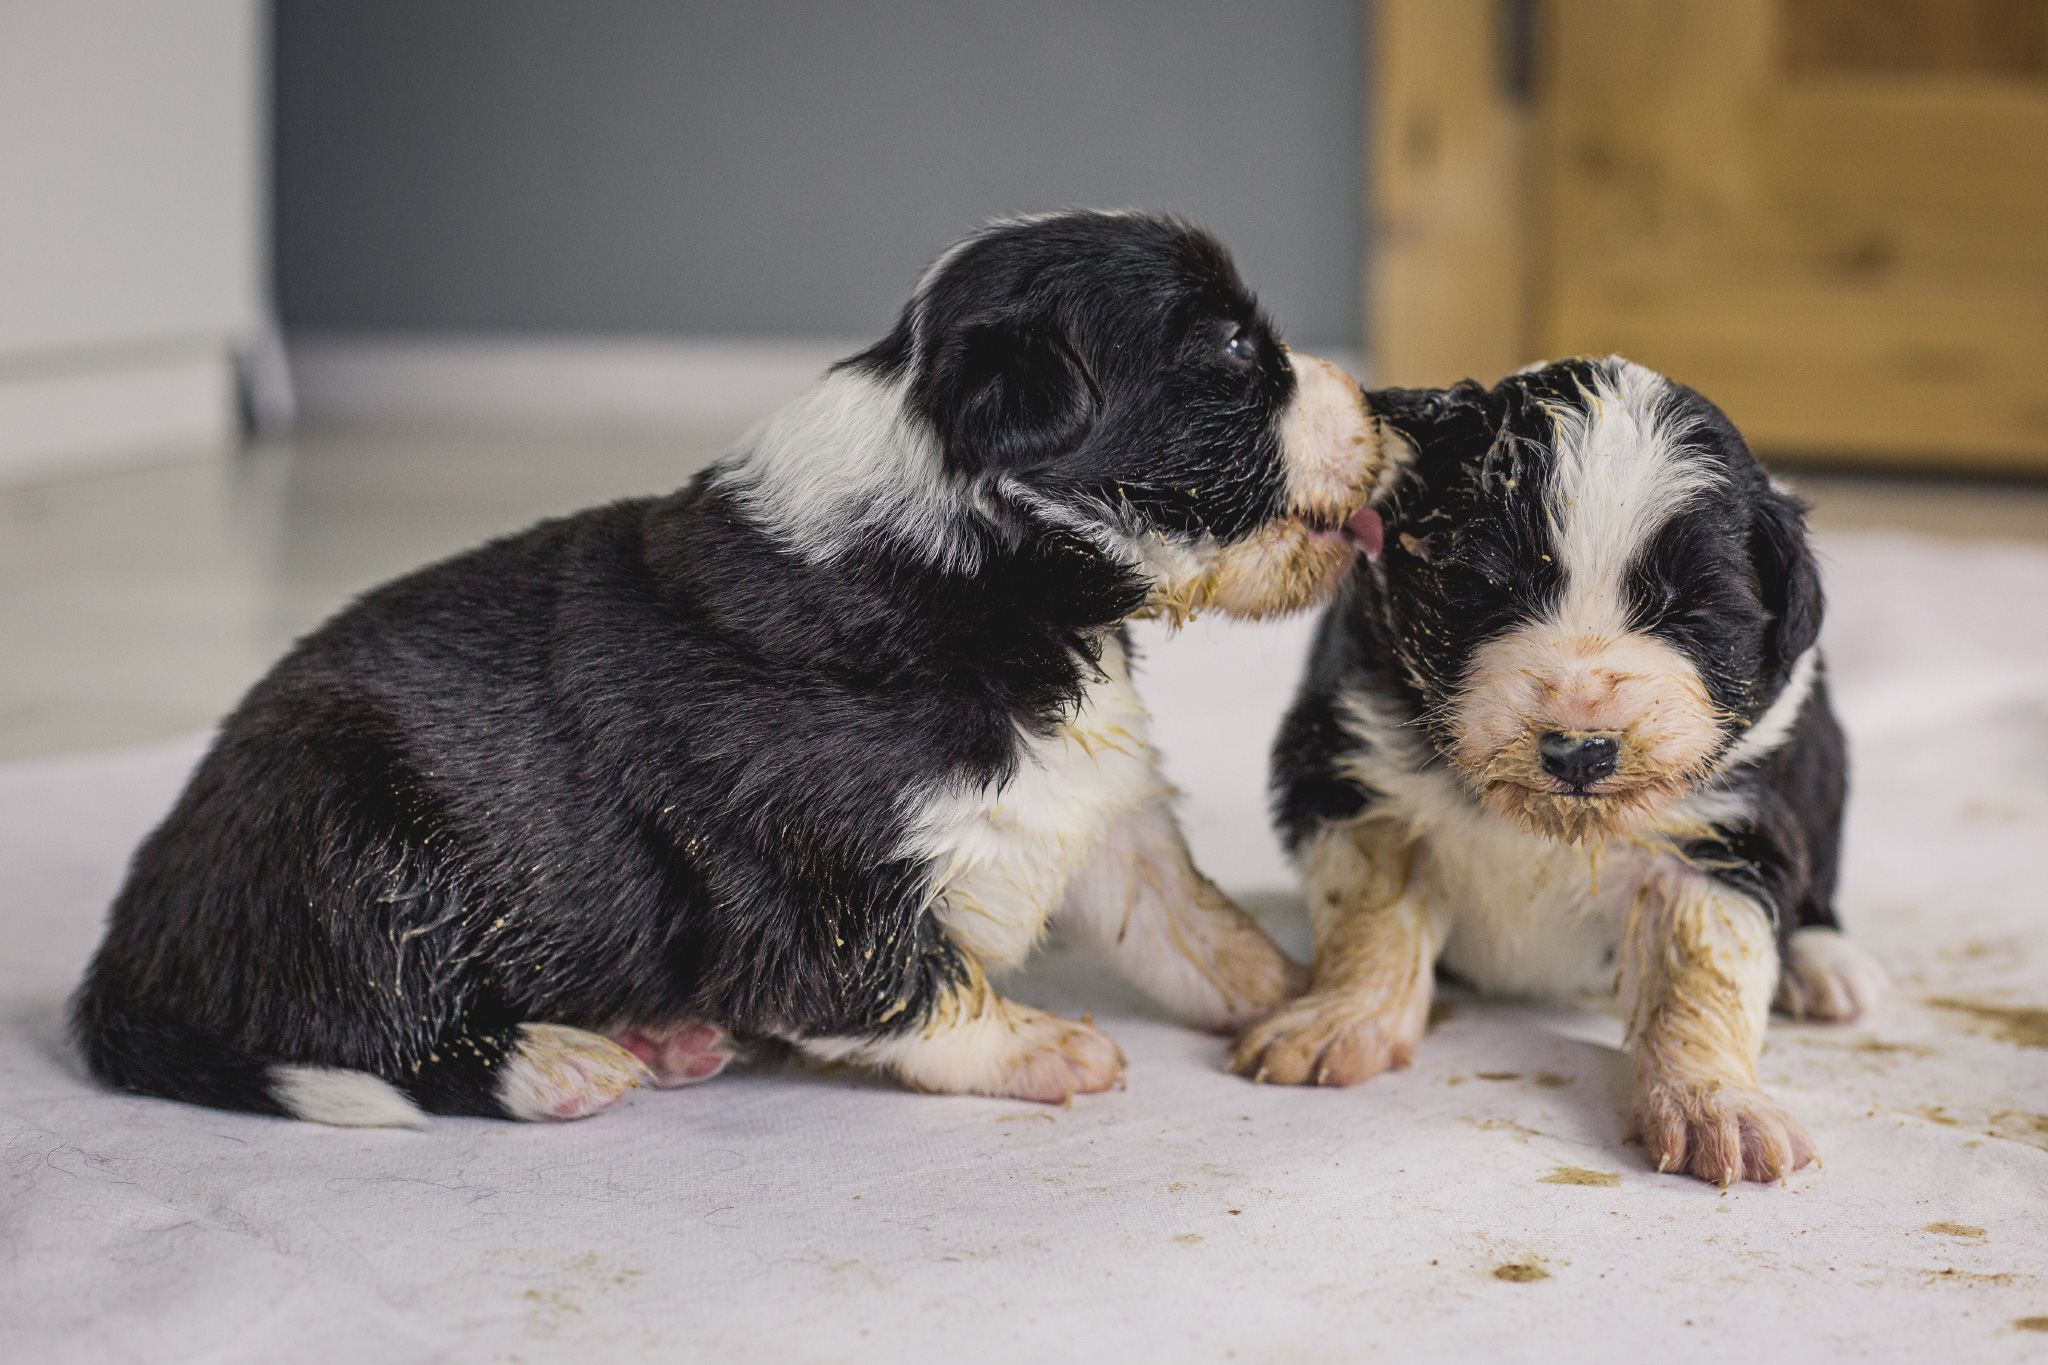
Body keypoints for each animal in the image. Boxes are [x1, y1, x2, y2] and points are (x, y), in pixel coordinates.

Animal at [79, 210, 1392, 1129]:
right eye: (1231, 351)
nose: (1383, 405)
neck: (992, 580)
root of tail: (130, 947)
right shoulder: (812, 893)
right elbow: (914, 985)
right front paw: (1043, 1046)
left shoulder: (1095, 805)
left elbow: (1186, 921)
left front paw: (1301, 992)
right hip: (360, 858)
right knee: (383, 1038)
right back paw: (565, 1063)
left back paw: (659, 1037)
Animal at [1228, 360, 1884, 1186]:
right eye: (1488, 589)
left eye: (1685, 610)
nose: (1581, 748)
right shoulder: (1354, 770)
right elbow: (1369, 919)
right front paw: (1341, 1020)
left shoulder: (1720, 829)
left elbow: (1701, 980)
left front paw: (1717, 1105)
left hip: (1825, 758)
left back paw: (1826, 963)